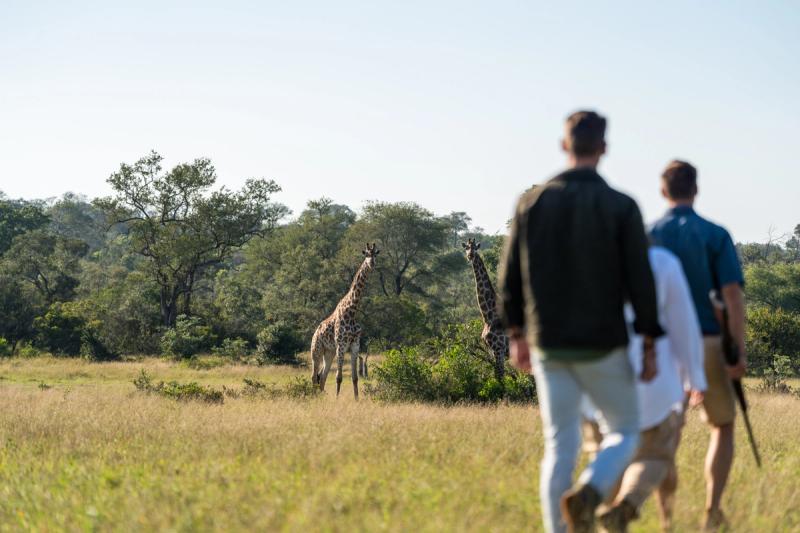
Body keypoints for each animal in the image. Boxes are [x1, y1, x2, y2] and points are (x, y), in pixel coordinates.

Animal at [310, 243, 379, 399]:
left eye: (375, 254)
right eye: (366, 254)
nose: (372, 263)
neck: (352, 311)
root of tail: (315, 333)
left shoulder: (355, 344)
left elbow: (355, 377)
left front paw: (357, 399)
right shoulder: (341, 345)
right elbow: (339, 377)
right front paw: (337, 399)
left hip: (329, 352)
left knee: (322, 376)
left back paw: (321, 397)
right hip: (316, 351)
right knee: (314, 376)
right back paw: (314, 396)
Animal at [462, 238, 508, 383]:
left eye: (475, 248)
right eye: (466, 247)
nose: (470, 255)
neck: (488, 316)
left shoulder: (499, 349)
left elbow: (500, 376)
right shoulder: (491, 350)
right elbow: (497, 376)